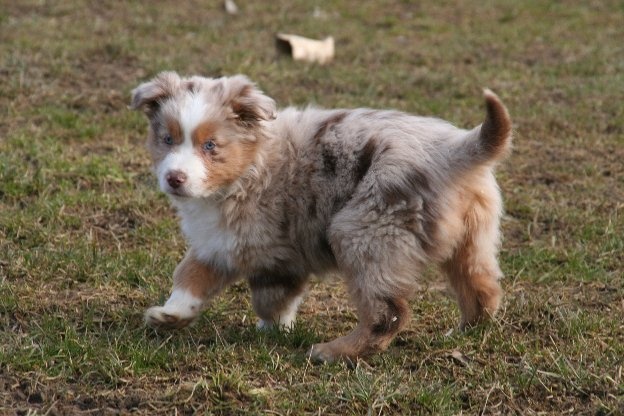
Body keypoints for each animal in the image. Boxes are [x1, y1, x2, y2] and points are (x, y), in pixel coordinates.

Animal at [132, 72, 512, 364]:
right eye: (167, 139)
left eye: (210, 146)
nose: (175, 178)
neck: (247, 170)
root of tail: (452, 152)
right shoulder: (219, 241)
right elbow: (190, 274)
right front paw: (171, 314)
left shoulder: (272, 249)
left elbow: (270, 297)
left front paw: (275, 328)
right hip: (472, 235)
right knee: (483, 287)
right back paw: (463, 331)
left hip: (366, 231)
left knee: (387, 313)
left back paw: (334, 352)